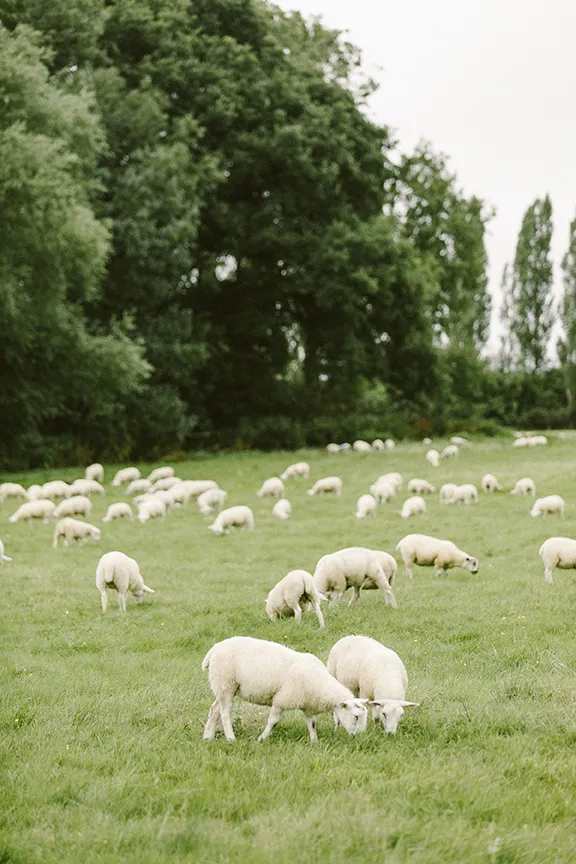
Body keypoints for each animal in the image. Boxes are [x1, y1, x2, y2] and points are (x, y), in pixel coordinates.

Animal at [202, 636, 368, 742]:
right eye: (356, 716)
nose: (358, 737)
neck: (321, 685)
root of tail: (214, 649)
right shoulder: (282, 700)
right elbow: (273, 722)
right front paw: (261, 739)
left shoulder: (307, 704)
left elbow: (312, 724)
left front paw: (314, 741)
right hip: (226, 684)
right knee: (225, 713)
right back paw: (231, 738)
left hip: (223, 687)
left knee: (215, 709)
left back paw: (208, 737)